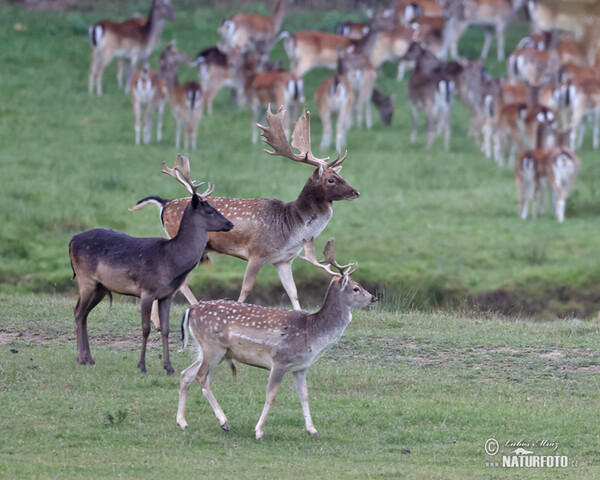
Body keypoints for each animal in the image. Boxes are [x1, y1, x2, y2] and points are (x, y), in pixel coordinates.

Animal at [68, 157, 232, 376]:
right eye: (210, 211)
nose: (230, 224)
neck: (171, 261)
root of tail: (71, 240)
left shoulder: (166, 295)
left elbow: (166, 329)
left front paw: (169, 367)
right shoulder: (146, 290)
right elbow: (145, 328)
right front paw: (142, 366)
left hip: (100, 286)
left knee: (85, 314)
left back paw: (90, 358)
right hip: (85, 279)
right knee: (78, 312)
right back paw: (80, 358)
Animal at [131, 103, 358, 324]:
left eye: (340, 175)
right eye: (331, 179)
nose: (356, 192)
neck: (292, 228)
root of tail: (165, 204)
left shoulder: (283, 260)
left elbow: (293, 291)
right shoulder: (257, 252)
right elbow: (246, 289)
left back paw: (156, 321)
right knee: (180, 281)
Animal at [176, 239, 378, 438]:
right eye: (356, 288)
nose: (374, 298)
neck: (312, 333)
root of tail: (191, 309)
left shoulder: (300, 366)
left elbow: (304, 394)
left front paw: (312, 430)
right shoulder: (280, 359)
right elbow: (271, 395)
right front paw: (259, 431)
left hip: (206, 349)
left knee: (186, 374)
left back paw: (182, 422)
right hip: (213, 347)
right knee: (201, 376)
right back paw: (223, 421)